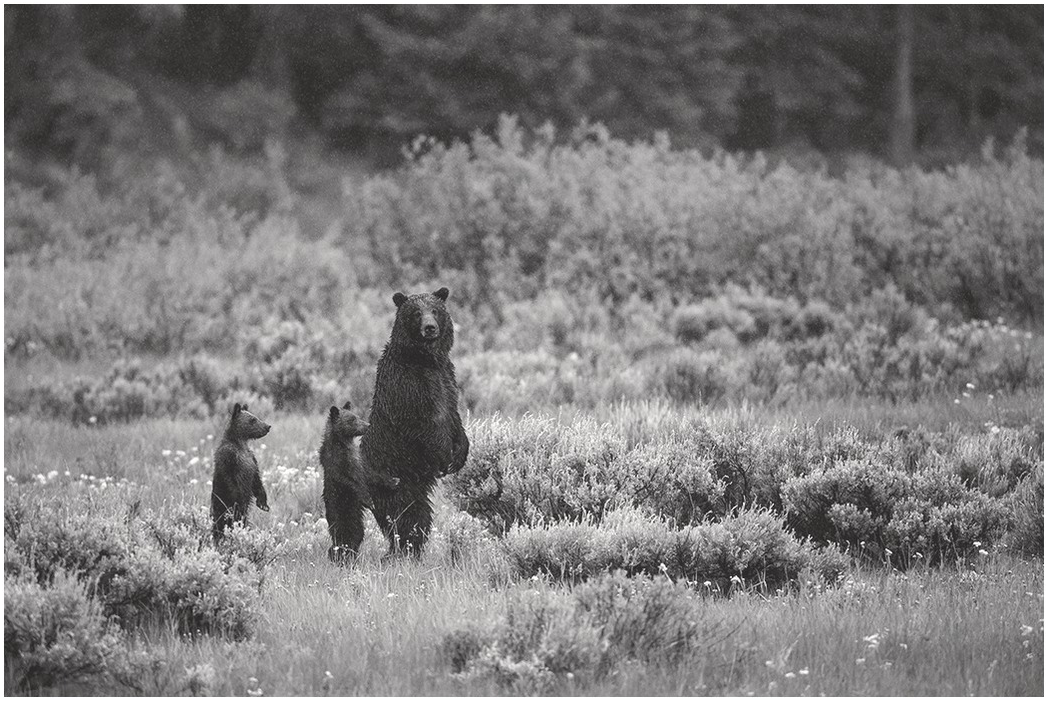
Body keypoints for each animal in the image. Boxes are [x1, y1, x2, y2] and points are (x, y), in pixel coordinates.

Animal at [209, 398, 270, 540]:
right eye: (253, 419)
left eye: (255, 416)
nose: (267, 426)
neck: (240, 443)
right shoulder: (230, 458)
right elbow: (232, 483)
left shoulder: (251, 459)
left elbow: (256, 480)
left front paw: (263, 503)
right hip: (221, 507)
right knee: (222, 523)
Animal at [316, 402, 398, 561]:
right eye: (352, 420)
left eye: (357, 416)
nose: (367, 425)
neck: (342, 443)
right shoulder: (336, 464)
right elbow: (351, 483)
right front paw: (370, 501)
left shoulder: (358, 460)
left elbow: (371, 474)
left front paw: (394, 480)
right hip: (343, 517)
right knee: (344, 540)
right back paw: (339, 556)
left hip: (355, 521)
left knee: (357, 536)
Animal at [364, 285, 471, 557]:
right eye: (416, 313)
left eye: (435, 309)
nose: (430, 328)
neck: (426, 359)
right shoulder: (408, 386)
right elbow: (426, 425)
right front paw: (445, 458)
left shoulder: (446, 377)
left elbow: (454, 414)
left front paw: (460, 453)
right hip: (397, 477)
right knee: (404, 515)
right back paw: (400, 550)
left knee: (420, 516)